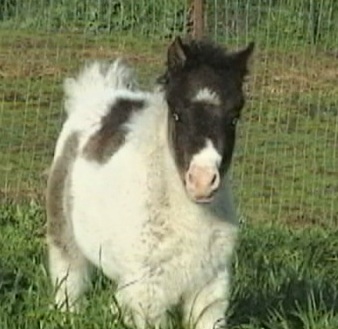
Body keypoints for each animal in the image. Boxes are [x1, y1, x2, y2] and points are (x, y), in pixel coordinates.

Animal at [46, 36, 255, 328]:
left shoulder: (210, 282)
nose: (202, 181)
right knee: (68, 279)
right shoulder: (148, 289)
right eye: (177, 113)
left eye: (234, 116)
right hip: (64, 232)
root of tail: (97, 94)